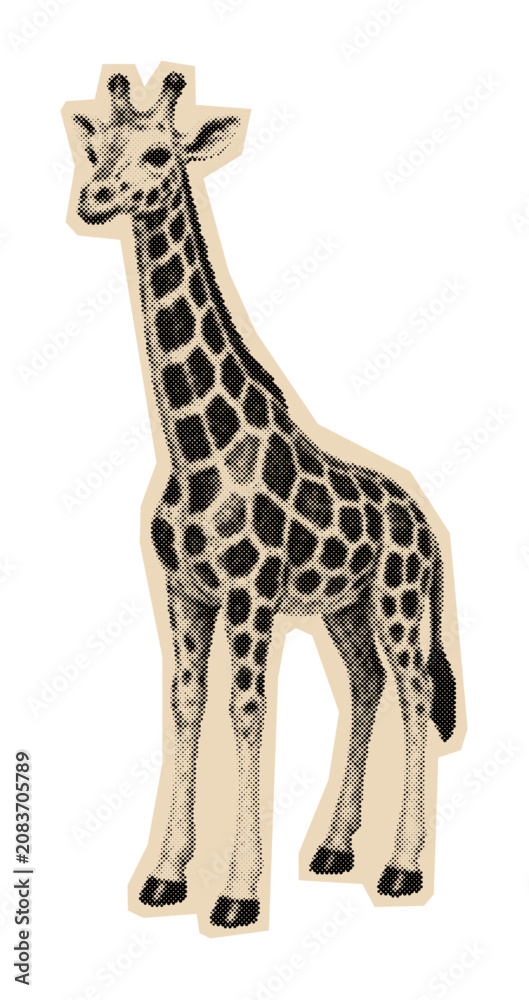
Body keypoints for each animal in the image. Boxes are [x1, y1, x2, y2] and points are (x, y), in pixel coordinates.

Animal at [64, 65, 463, 933]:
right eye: (95, 146)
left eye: (157, 152)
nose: (94, 200)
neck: (192, 444)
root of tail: (425, 521)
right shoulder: (184, 590)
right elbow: (185, 705)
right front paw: (166, 876)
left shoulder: (249, 594)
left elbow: (247, 714)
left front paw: (238, 894)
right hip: (345, 609)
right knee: (366, 685)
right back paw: (335, 849)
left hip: (398, 601)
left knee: (416, 694)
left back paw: (401, 866)